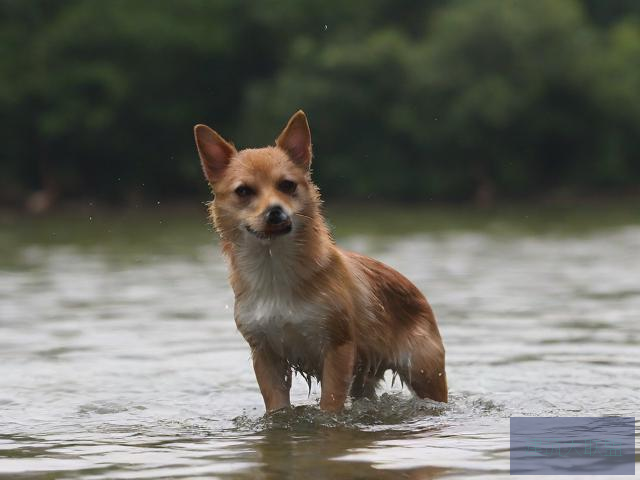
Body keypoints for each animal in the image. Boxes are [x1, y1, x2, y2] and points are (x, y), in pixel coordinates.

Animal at [192, 109, 448, 412]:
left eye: (287, 185)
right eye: (244, 191)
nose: (275, 211)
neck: (273, 266)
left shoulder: (338, 349)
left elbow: (330, 403)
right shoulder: (265, 356)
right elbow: (277, 405)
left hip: (424, 373)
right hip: (365, 378)